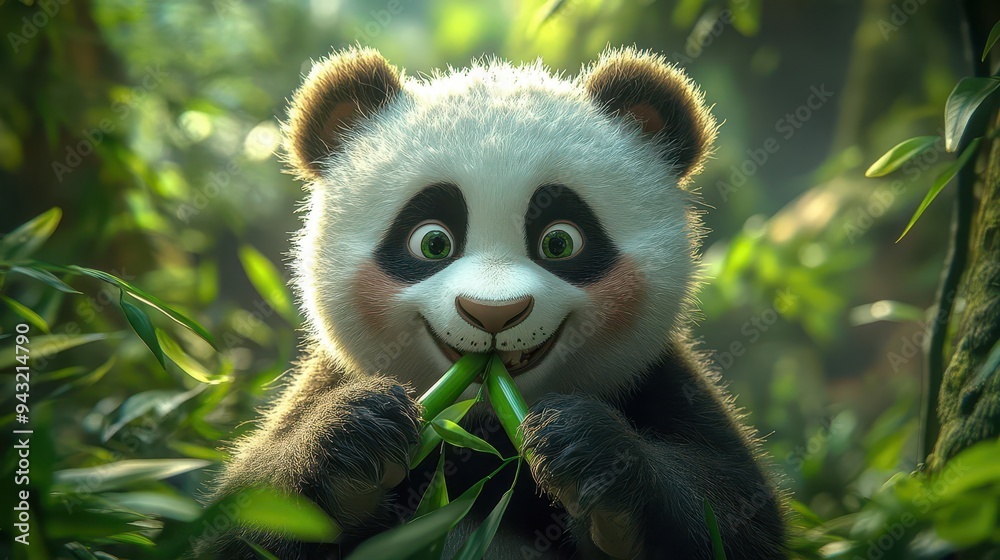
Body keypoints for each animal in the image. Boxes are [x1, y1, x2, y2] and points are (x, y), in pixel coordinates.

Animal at [202, 46, 787, 559]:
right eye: (432, 242)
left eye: (559, 241)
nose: (493, 313)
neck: (478, 429)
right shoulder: (327, 382)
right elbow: (243, 519)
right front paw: (356, 436)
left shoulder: (659, 381)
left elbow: (735, 514)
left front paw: (587, 456)